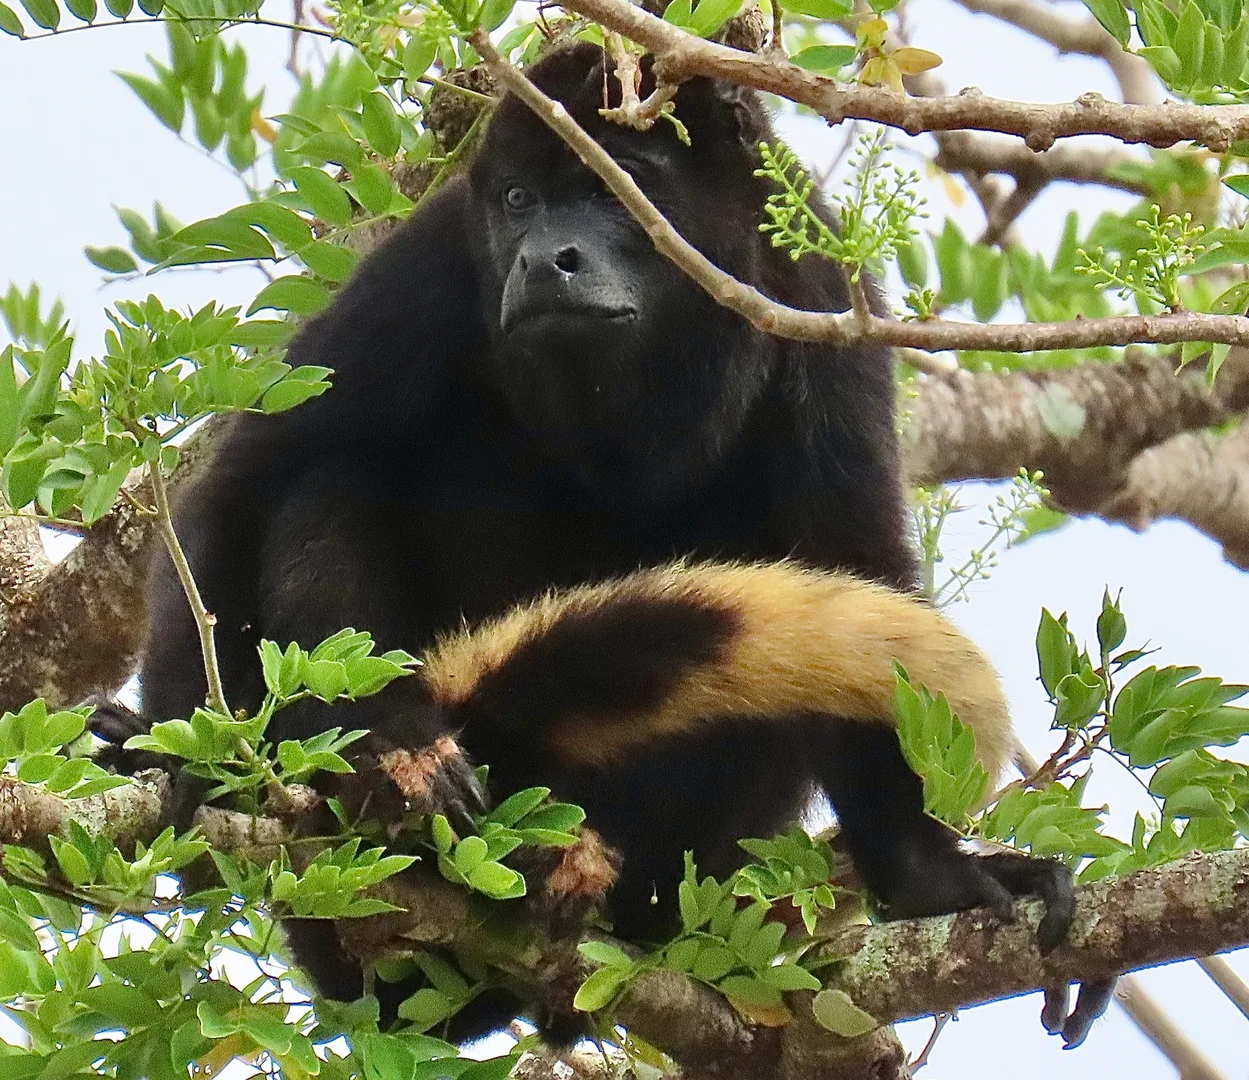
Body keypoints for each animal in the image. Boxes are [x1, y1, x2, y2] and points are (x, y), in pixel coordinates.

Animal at [107, 41, 1111, 1045]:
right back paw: (388, 764)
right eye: (519, 199)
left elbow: (850, 556)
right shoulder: (429, 264)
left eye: (613, 183)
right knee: (330, 485)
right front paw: (187, 761)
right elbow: (251, 479)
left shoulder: (820, 289)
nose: (545, 259)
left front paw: (929, 876)